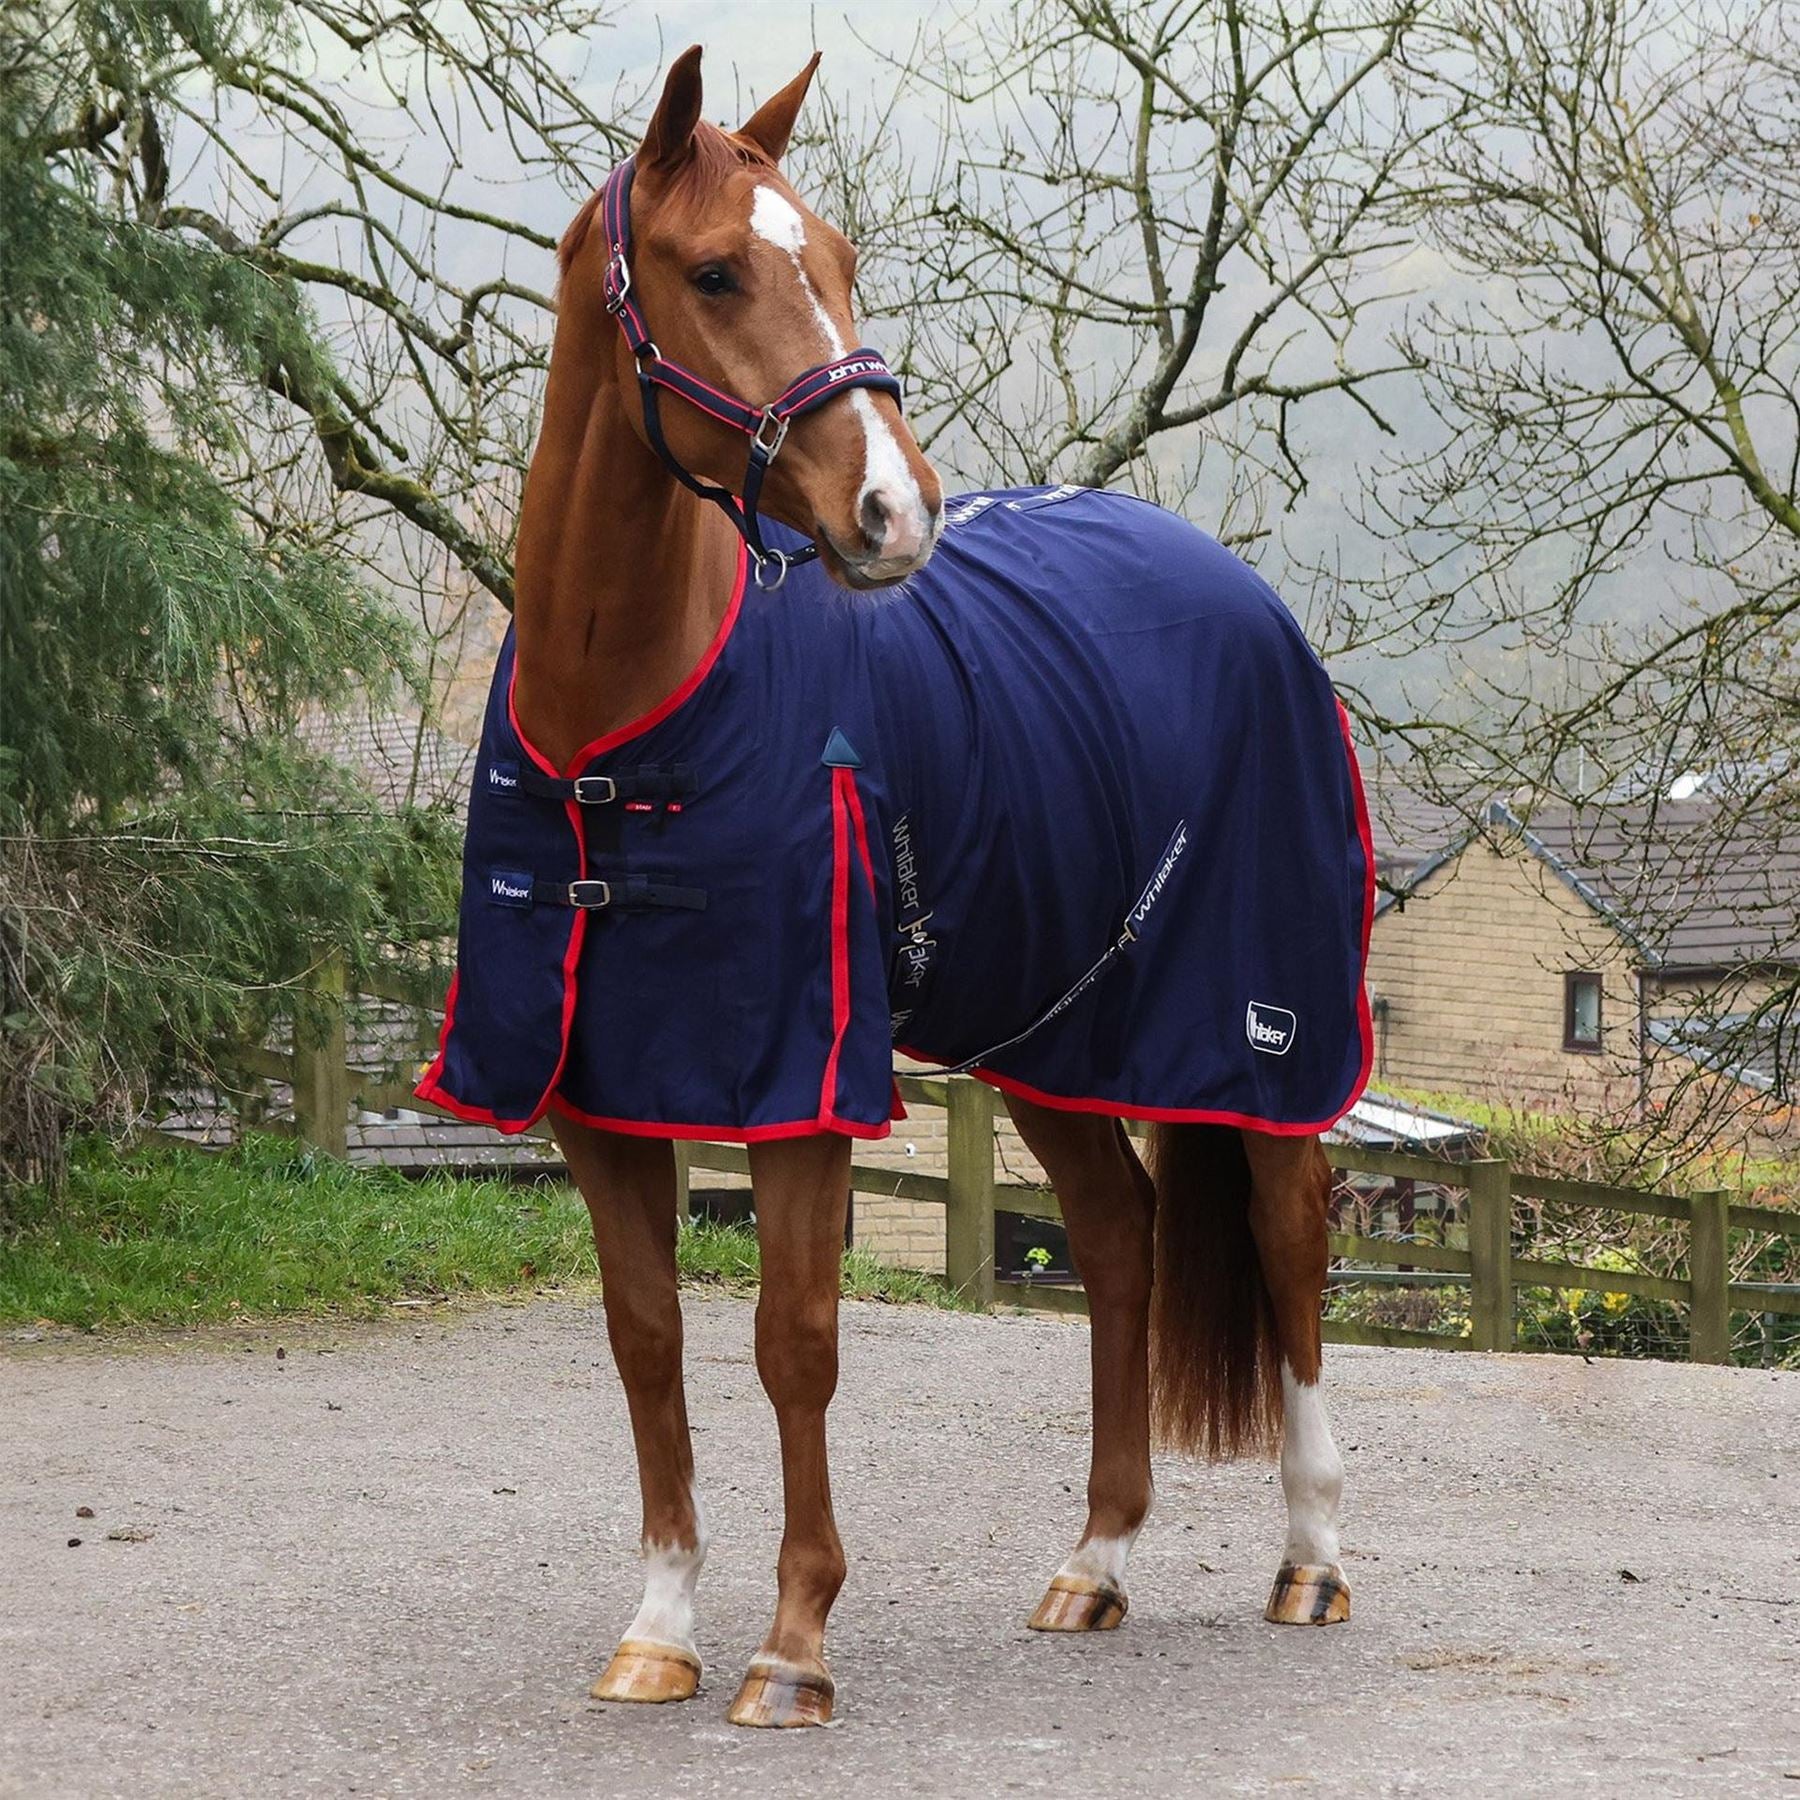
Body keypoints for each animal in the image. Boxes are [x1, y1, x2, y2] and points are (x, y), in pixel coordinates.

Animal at [419, 45, 1372, 1729]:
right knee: (1118, 1242)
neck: (625, 731)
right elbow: (647, 1341)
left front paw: (792, 1645)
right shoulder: (597, 1096)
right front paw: (660, 1625)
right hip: (1057, 1037)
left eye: (842, 258)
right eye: (716, 270)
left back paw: (1309, 1559)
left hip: (1260, 1034)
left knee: (1291, 1232)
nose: (897, 510)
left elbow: (794, 1341)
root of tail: (1244, 598)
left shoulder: (804, 1087)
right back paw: (1095, 1563)